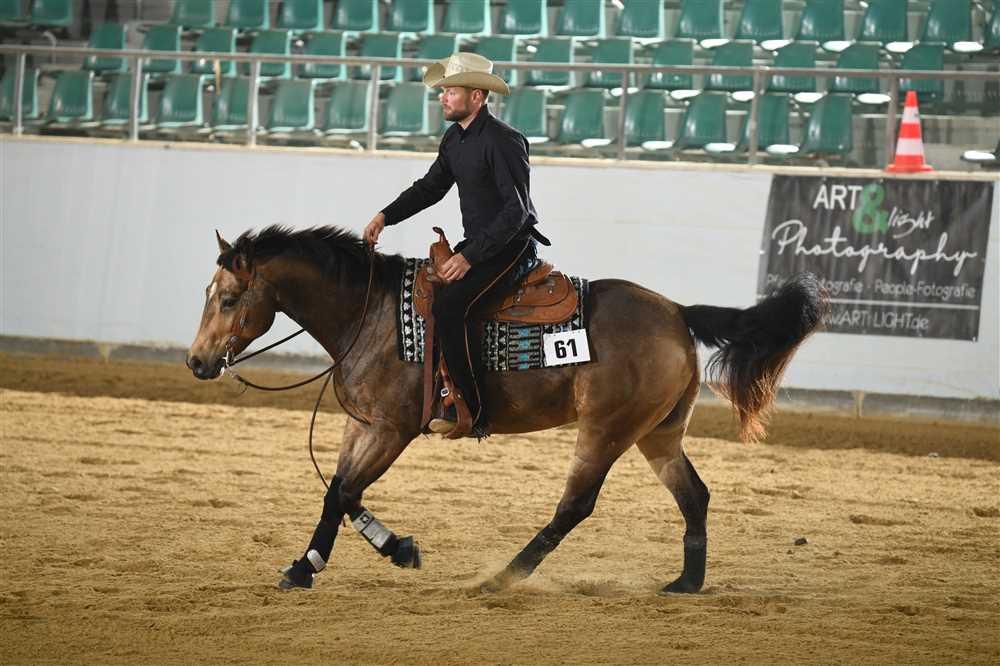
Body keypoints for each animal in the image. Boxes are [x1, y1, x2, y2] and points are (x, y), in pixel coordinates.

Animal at [186, 225, 826, 593]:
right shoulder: (362, 423)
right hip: (658, 434)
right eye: (209, 295)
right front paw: (382, 551)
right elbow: (339, 491)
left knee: (576, 505)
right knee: (694, 495)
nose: (197, 362)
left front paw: (317, 565)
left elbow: (343, 492)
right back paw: (686, 584)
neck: (370, 313)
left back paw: (503, 577)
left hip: (607, 430)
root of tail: (677, 311)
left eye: (229, 298)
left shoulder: (393, 429)